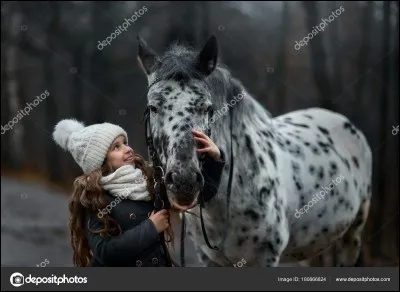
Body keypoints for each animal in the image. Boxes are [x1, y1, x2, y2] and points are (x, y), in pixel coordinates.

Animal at [137, 34, 372, 266]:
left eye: (207, 107)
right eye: (153, 107)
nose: (184, 182)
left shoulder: (266, 256)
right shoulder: (208, 258)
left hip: (352, 236)